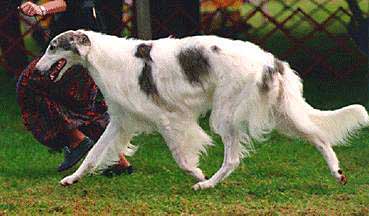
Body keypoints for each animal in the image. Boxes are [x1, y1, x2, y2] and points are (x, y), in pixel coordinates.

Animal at [35, 29, 368, 190]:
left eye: (53, 47)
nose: (36, 71)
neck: (107, 58)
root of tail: (271, 61)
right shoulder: (119, 121)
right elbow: (92, 155)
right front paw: (71, 179)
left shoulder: (168, 119)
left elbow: (182, 158)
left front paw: (196, 173)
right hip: (281, 115)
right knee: (319, 137)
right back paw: (338, 173)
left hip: (226, 115)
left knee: (233, 158)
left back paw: (207, 184)